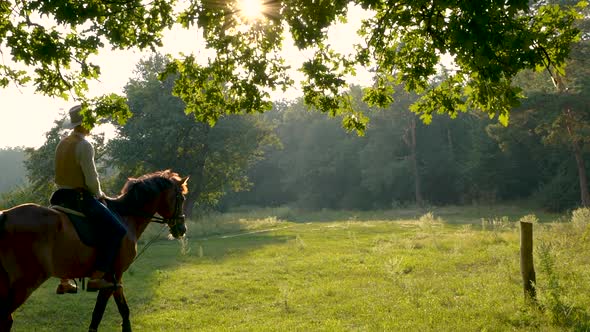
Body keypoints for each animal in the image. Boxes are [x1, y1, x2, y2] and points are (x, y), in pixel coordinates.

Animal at [0, 170, 190, 330]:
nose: (182, 228)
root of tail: (6, 215)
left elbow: (118, 311)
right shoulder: (113, 277)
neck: (125, 217)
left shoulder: (114, 279)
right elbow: (103, 314)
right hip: (25, 283)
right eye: (181, 198)